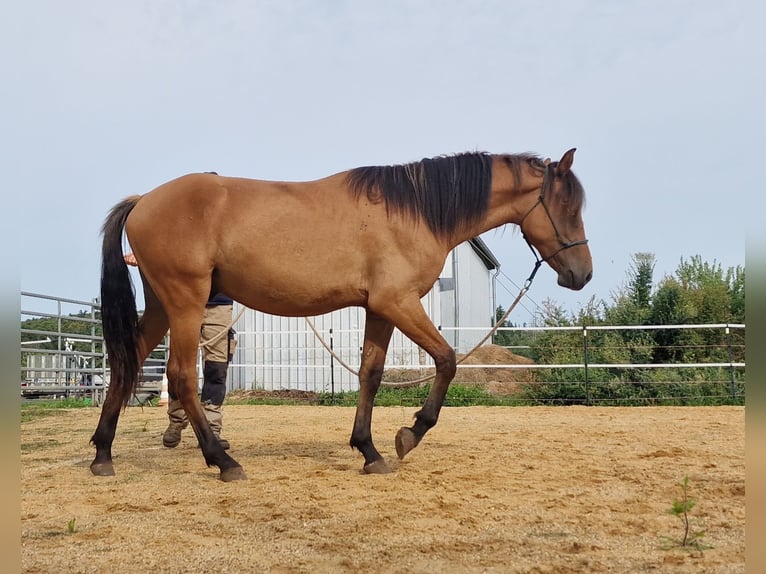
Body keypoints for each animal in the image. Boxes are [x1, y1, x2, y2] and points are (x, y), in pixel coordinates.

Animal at [90, 148, 592, 482]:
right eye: (567, 207)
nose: (582, 274)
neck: (415, 211)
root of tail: (144, 200)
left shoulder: (380, 309)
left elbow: (371, 373)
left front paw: (369, 451)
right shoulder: (399, 302)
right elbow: (446, 360)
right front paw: (410, 434)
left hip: (163, 305)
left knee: (128, 361)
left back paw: (102, 454)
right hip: (186, 302)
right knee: (180, 376)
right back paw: (223, 460)